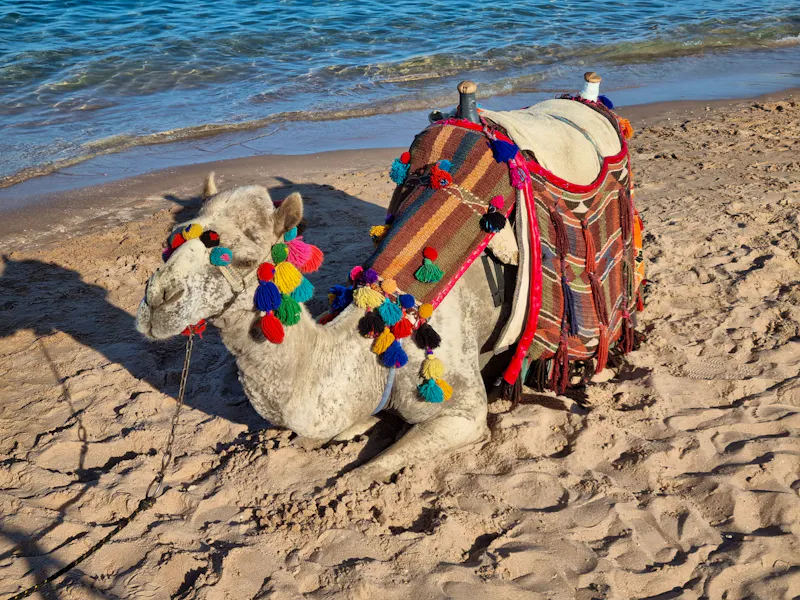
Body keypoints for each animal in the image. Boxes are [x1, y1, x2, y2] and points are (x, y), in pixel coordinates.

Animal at [137, 79, 631, 483]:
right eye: (172, 239)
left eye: (242, 257)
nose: (157, 300)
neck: (380, 335)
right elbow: (329, 433)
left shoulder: (463, 412)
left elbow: (363, 473)